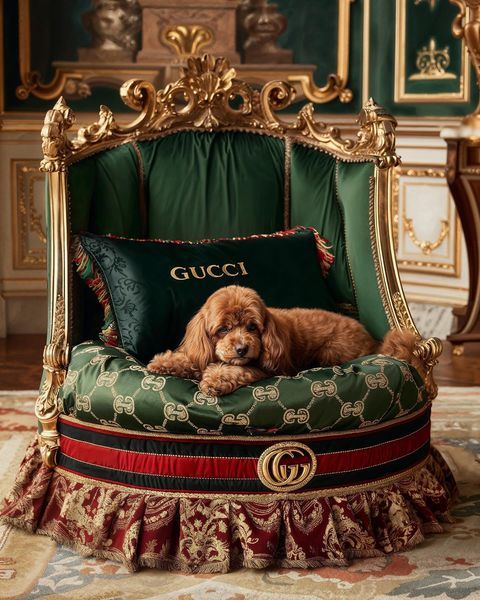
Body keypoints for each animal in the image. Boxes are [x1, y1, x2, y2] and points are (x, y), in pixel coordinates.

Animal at [147, 284, 420, 396]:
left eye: (252, 327)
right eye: (223, 329)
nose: (242, 348)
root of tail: (375, 342)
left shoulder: (262, 368)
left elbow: (234, 370)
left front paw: (215, 380)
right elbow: (192, 359)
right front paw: (166, 362)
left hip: (332, 351)